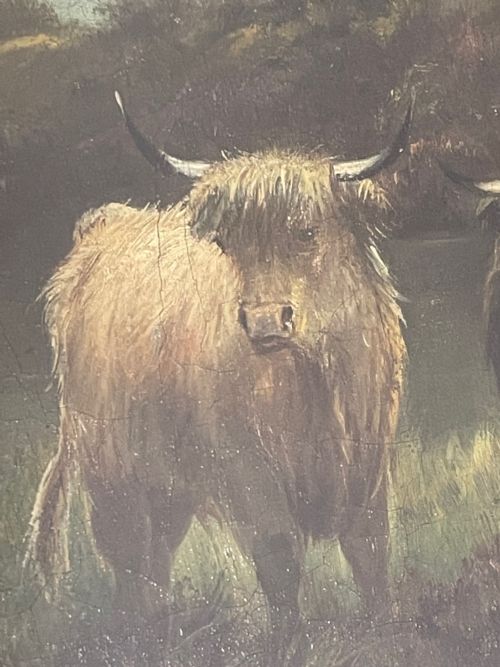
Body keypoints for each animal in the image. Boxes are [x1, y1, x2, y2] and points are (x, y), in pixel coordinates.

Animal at [25, 90, 413, 661]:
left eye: (307, 231)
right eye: (227, 242)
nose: (265, 320)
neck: (309, 385)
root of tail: (102, 226)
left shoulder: (367, 463)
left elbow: (371, 556)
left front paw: (388, 638)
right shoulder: (247, 467)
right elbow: (280, 560)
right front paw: (286, 648)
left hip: (166, 480)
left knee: (157, 554)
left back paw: (163, 630)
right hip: (109, 466)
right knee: (127, 555)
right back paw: (140, 636)